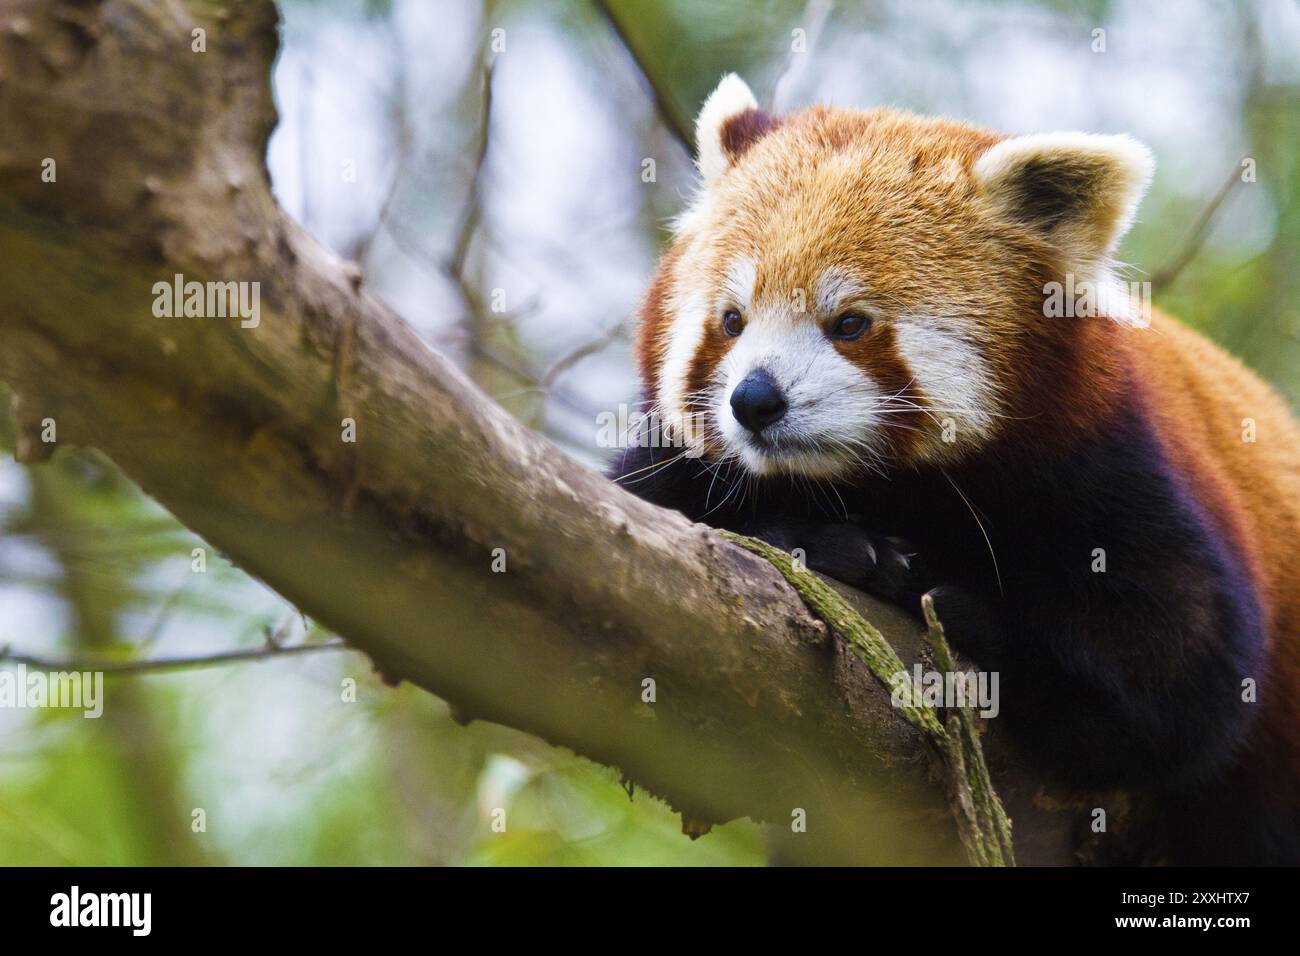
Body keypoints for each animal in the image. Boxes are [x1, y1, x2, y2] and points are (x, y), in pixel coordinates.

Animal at [608, 74, 1300, 868]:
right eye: (731, 321)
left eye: (849, 324)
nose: (753, 400)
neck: (887, 488)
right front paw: (833, 543)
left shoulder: (1110, 468)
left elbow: (1184, 679)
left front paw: (965, 606)